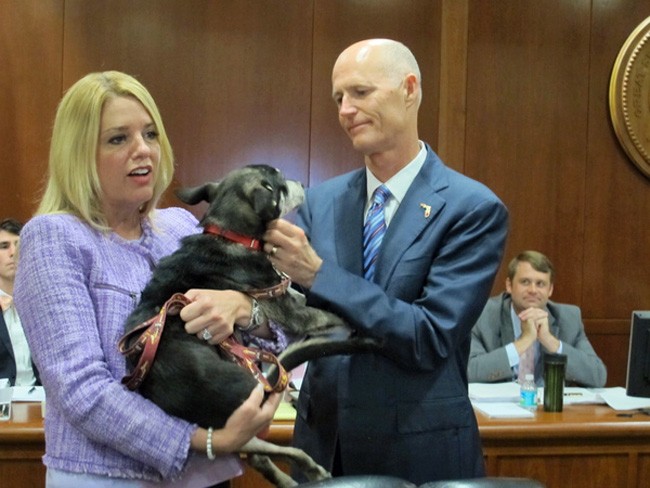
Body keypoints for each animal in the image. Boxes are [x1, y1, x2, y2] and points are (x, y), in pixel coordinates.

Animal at [118, 166, 380, 486]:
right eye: (280, 185)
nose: (301, 183)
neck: (232, 235)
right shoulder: (292, 312)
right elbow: (330, 313)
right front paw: (359, 322)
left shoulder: (289, 297)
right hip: (247, 408)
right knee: (268, 450)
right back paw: (310, 468)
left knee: (257, 454)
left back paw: (290, 478)